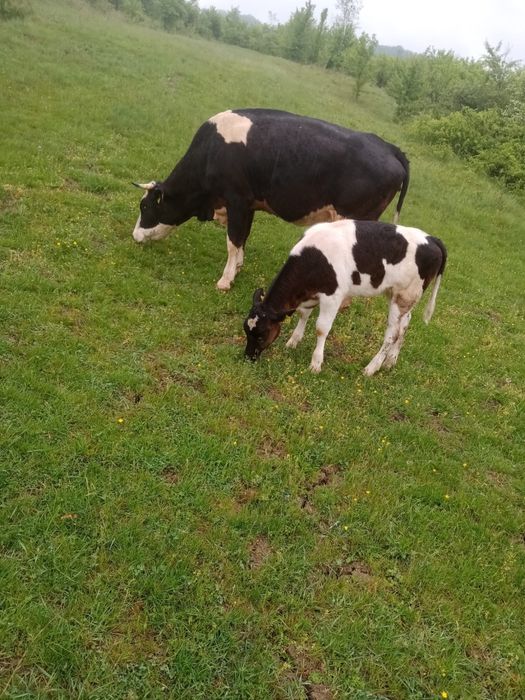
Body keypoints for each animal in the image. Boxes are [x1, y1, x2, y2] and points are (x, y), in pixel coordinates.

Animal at [132, 108, 410, 290]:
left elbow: (232, 240)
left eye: (145, 206)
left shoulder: (236, 200)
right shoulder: (249, 204)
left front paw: (225, 280)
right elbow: (243, 237)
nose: (135, 237)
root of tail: (388, 146)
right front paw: (238, 268)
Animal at [243, 219, 447, 375]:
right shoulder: (311, 293)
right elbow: (303, 314)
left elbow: (321, 329)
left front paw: (316, 364)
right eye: (246, 331)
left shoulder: (332, 296)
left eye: (261, 336)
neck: (314, 258)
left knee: (392, 333)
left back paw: (371, 368)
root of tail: (432, 239)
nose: (248, 357)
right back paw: (390, 361)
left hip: (404, 295)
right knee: (405, 324)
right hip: (399, 295)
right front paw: (293, 341)